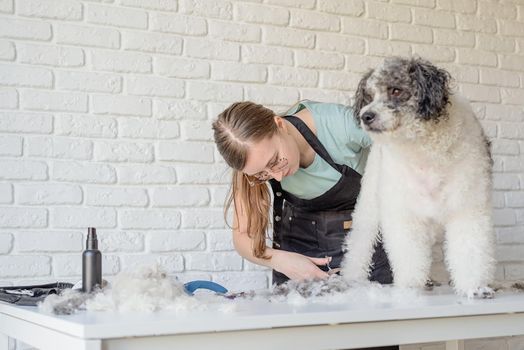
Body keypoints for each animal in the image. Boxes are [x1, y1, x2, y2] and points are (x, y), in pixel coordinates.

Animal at [342, 57, 498, 298]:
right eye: (368, 96)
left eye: (396, 90)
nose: (365, 116)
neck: (424, 149)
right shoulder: (404, 214)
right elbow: (409, 256)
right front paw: (409, 288)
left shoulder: (468, 208)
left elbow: (470, 250)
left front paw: (475, 288)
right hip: (368, 205)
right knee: (358, 245)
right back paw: (352, 277)